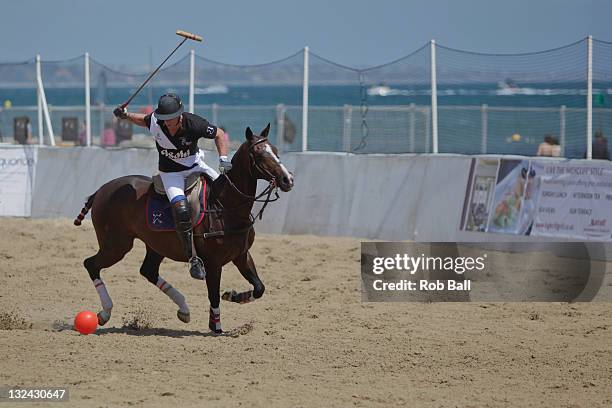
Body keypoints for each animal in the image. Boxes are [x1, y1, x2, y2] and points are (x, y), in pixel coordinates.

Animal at [74, 125, 294, 334]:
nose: (287, 179)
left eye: (275, 150)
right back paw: (105, 312)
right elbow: (213, 295)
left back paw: (184, 309)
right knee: (91, 264)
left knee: (148, 270)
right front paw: (216, 326)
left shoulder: (241, 255)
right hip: (116, 245)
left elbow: (259, 288)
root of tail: (100, 191)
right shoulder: (213, 263)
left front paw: (233, 295)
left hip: (155, 244)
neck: (225, 206)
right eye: (258, 154)